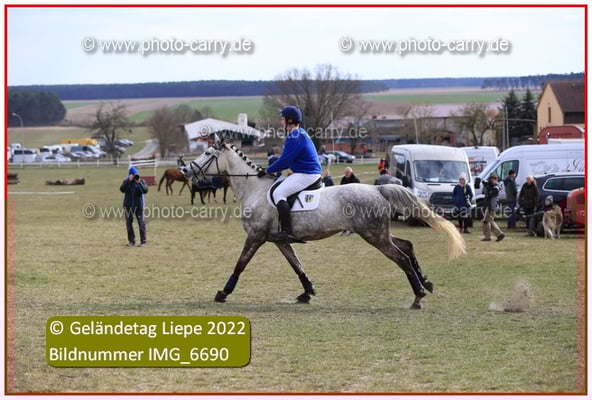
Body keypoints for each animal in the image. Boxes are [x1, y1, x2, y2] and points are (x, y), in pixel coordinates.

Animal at [183, 138, 466, 309]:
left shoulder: (256, 236)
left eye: (207, 153)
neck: (255, 189)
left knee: (402, 257)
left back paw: (418, 296)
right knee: (407, 246)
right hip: (379, 233)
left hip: (374, 236)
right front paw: (307, 292)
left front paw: (223, 292)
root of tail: (378, 189)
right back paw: (426, 283)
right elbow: (297, 265)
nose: (186, 170)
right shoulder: (279, 241)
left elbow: (240, 264)